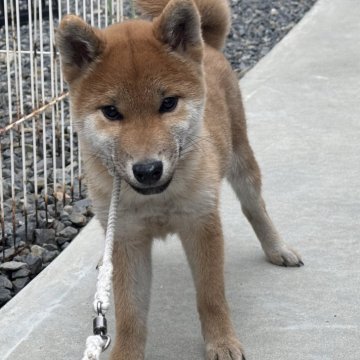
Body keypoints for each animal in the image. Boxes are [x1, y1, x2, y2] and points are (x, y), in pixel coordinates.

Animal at [57, 0, 304, 358]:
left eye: (168, 103)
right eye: (111, 112)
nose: (148, 169)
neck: (157, 198)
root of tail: (210, 48)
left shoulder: (202, 225)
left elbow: (211, 297)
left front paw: (222, 342)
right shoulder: (127, 240)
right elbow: (129, 314)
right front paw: (126, 353)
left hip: (241, 160)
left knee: (255, 208)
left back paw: (277, 248)